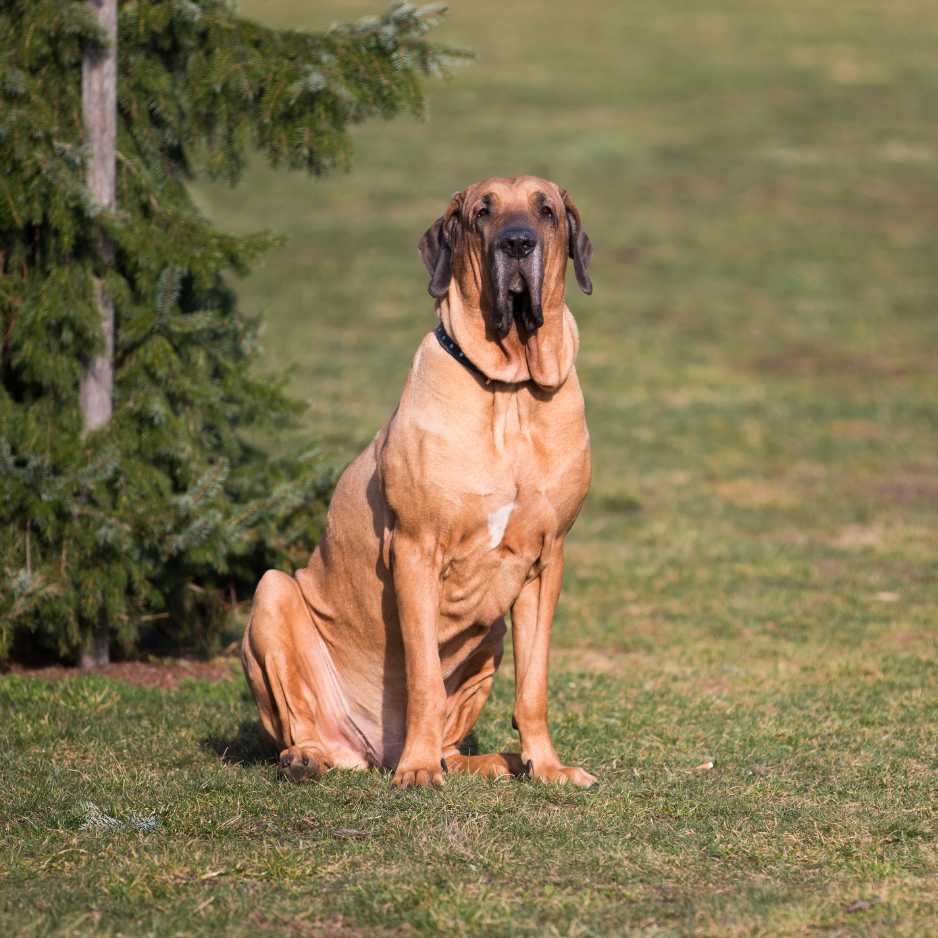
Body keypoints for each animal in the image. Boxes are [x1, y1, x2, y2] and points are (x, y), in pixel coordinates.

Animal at [241, 176, 592, 784]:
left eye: (546, 211)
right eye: (482, 213)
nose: (517, 243)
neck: (510, 391)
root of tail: (377, 751)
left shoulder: (547, 561)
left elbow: (535, 685)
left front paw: (547, 767)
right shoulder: (415, 550)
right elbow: (425, 675)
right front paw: (421, 769)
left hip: (492, 633)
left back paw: (487, 762)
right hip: (271, 595)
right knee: (308, 724)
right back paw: (312, 757)